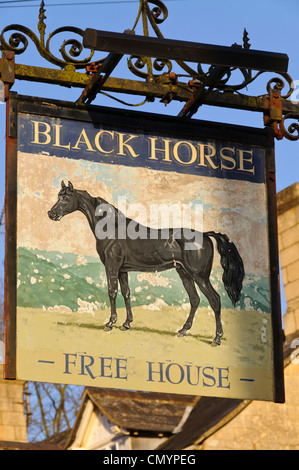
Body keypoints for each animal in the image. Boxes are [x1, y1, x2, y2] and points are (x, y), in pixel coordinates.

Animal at [48, 180, 245, 346]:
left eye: (65, 198)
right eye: (58, 196)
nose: (51, 214)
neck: (112, 228)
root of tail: (205, 235)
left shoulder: (112, 267)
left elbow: (112, 292)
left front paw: (110, 323)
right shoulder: (123, 270)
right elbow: (126, 293)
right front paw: (126, 323)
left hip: (199, 276)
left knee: (214, 300)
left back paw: (216, 338)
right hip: (184, 274)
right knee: (195, 300)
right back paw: (182, 330)